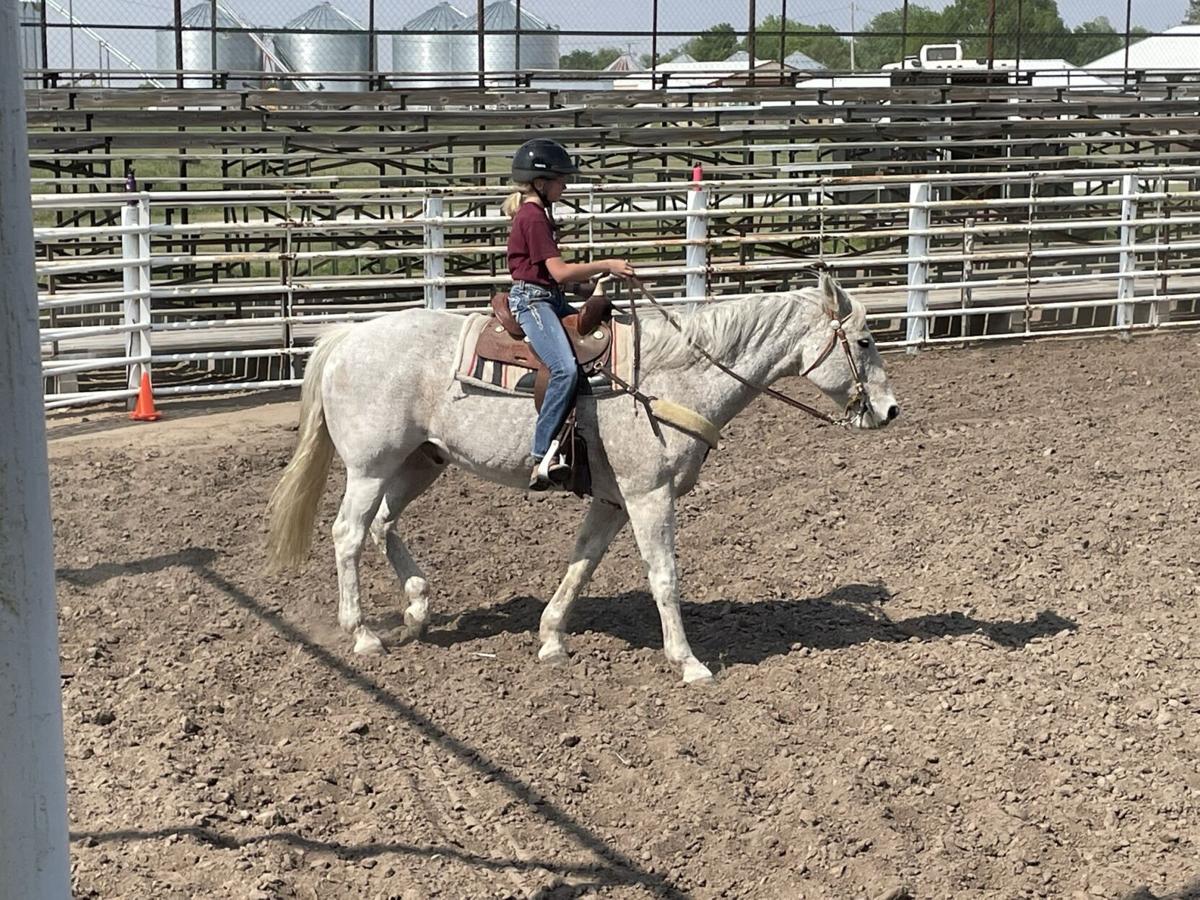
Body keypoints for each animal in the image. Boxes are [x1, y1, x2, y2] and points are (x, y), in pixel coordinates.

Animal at [267, 274, 897, 681]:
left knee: (382, 526)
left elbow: (582, 564)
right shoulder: (649, 494)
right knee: (349, 534)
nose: (891, 411)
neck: (672, 375)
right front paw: (689, 663)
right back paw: (363, 634)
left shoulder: (613, 501)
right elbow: (664, 577)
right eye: (865, 340)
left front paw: (551, 639)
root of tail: (348, 337)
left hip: (422, 461)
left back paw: (418, 609)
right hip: (370, 466)